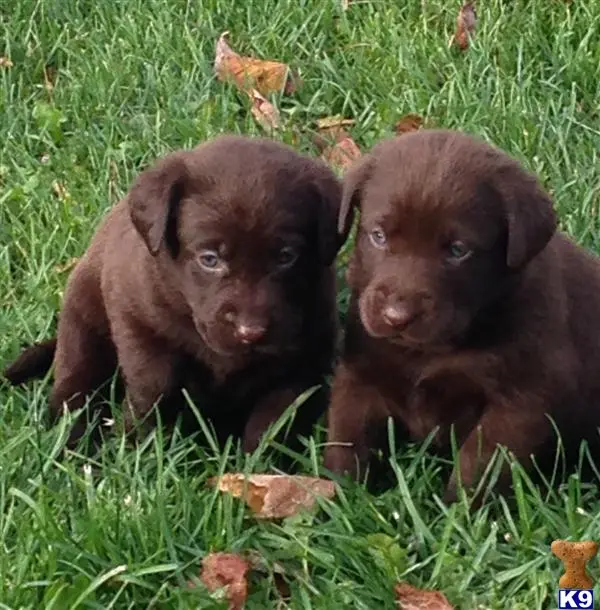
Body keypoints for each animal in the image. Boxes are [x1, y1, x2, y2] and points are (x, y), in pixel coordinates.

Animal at [4, 137, 344, 452]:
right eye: (210, 259)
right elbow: (153, 388)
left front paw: (262, 467)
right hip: (82, 317)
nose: (251, 332)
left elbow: (274, 420)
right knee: (76, 379)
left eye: (286, 256)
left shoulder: (304, 360)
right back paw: (71, 439)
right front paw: (136, 448)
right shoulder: (137, 321)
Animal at [326, 129, 600, 504]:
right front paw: (336, 495)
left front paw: (459, 511)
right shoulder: (360, 374)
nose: (397, 316)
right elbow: (347, 438)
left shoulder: (521, 402)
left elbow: (479, 463)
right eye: (378, 236)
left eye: (458, 250)